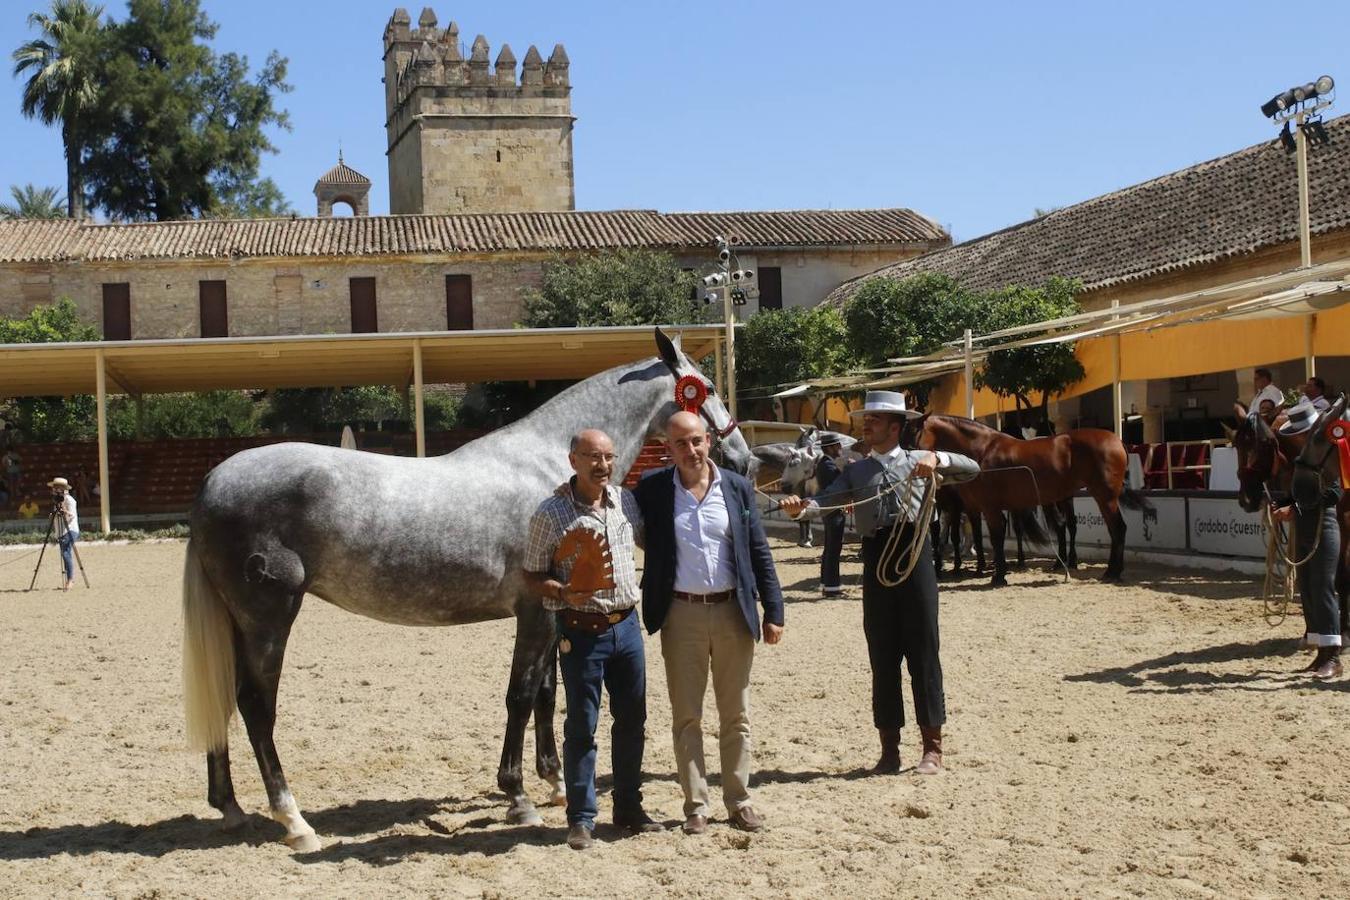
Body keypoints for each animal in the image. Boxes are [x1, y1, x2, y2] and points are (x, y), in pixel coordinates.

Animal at [178, 329, 750, 852]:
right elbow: (522, 695)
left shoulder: (551, 612)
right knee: (256, 705)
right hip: (269, 618)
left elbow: (547, 692)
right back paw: (294, 821)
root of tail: (213, 482)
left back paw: (231, 808)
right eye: (704, 388)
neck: (547, 469)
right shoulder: (534, 610)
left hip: (239, 621)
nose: (742, 457)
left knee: (227, 698)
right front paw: (518, 797)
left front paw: (554, 782)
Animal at [901, 412, 1144, 585]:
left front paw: (998, 577)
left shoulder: (988, 507)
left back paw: (1112, 572)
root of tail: (1116, 440)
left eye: (911, 435)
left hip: (1105, 497)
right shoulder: (976, 508)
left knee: (1117, 529)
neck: (982, 451)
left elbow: (996, 538)